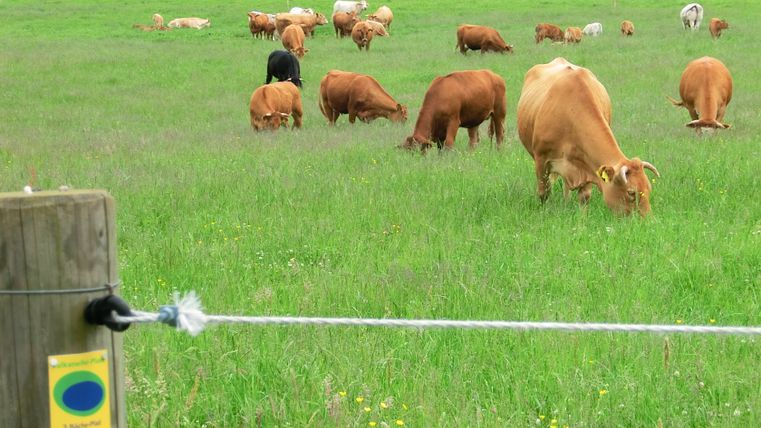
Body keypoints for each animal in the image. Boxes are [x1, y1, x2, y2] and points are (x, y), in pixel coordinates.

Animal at [516, 57, 660, 216]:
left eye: (648, 188)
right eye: (631, 192)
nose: (647, 218)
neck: (570, 112)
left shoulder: (587, 165)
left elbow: (584, 197)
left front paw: (582, 217)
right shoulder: (541, 160)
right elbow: (543, 193)